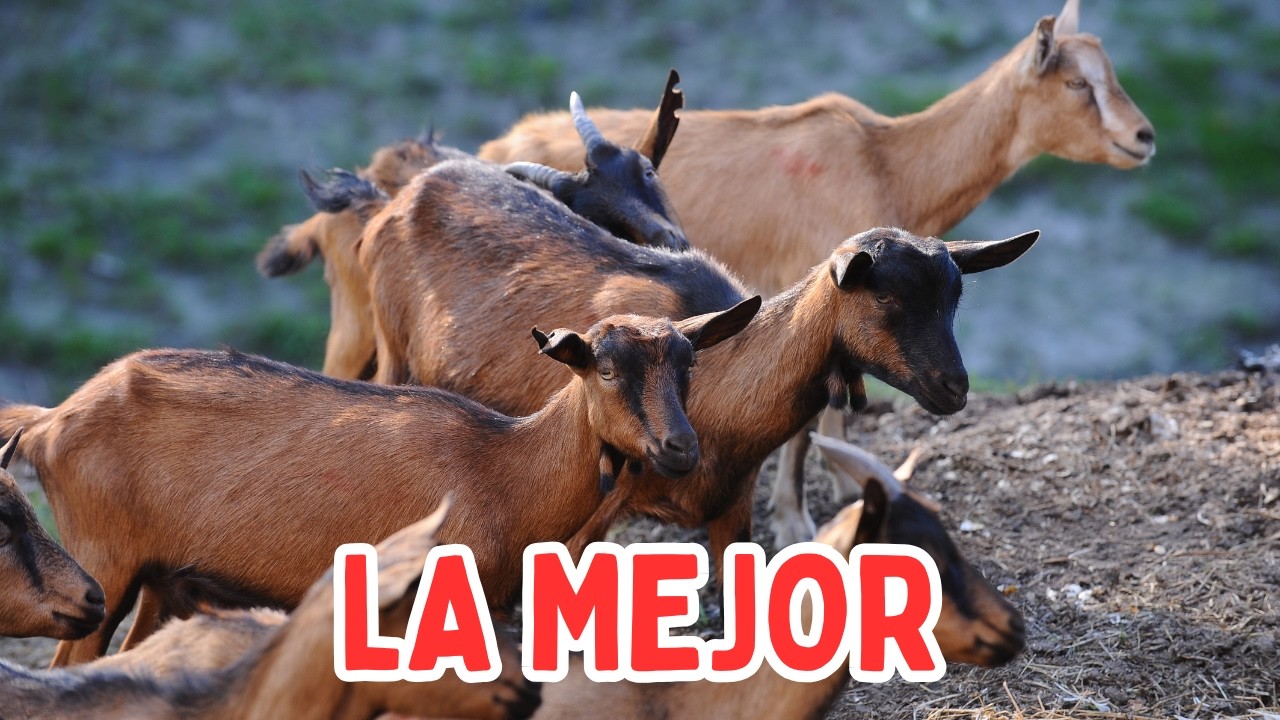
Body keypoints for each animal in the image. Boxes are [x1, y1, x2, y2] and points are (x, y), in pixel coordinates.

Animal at [316, 162, 1035, 593]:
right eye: (884, 299)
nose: (954, 386)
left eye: (956, 298)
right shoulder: (592, 509)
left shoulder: (730, 509)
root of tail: (395, 199)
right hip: (392, 345)